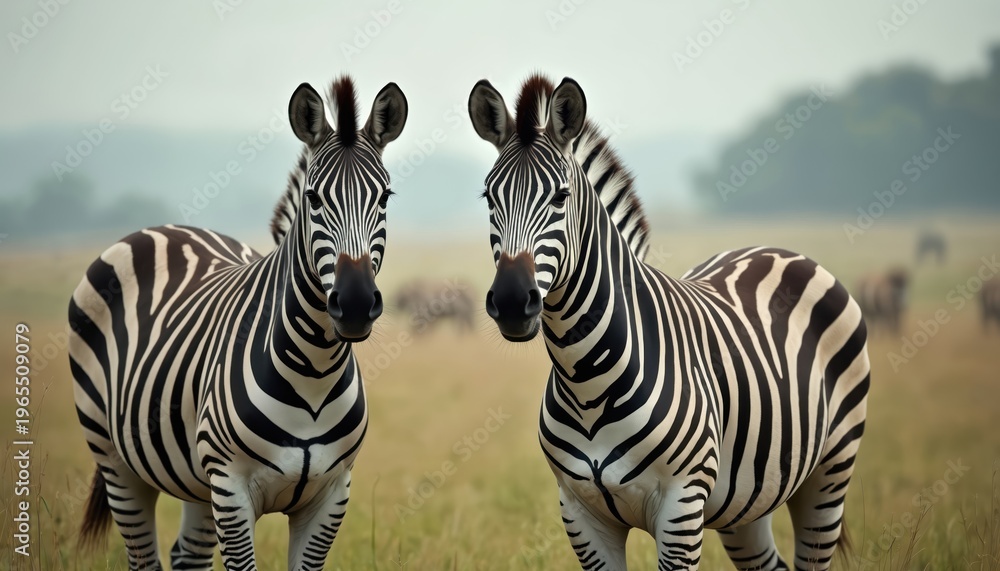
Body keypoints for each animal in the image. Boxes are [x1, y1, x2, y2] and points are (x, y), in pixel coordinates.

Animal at [68, 75, 407, 570]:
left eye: (384, 197)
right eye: (313, 199)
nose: (357, 303)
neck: (315, 369)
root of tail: (167, 229)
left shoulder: (331, 493)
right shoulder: (230, 488)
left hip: (195, 479)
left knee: (187, 556)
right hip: (116, 459)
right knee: (144, 556)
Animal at [468, 74, 870, 570]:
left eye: (561, 197)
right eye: (489, 197)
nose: (510, 301)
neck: (585, 381)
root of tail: (778, 250)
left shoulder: (681, 507)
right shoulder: (580, 513)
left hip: (831, 470)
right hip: (748, 502)